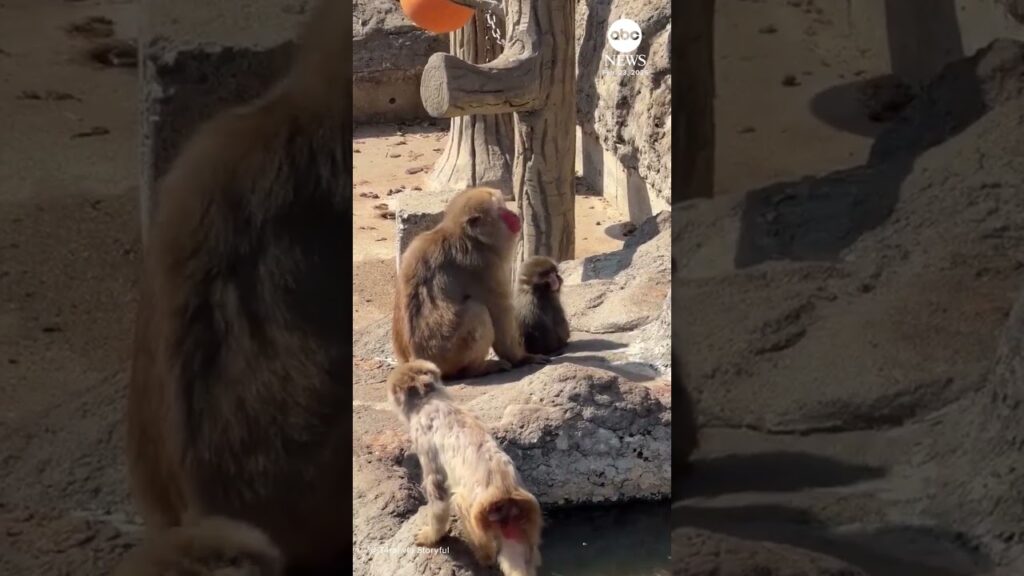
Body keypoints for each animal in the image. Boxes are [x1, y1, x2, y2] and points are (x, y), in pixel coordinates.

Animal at [386, 360, 543, 576]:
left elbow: (439, 493)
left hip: (481, 515)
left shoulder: (423, 438)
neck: (429, 399)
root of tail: (504, 491)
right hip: (516, 518)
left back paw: (484, 556)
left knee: (460, 501)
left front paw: (431, 535)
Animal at [392, 186, 550, 379]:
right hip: (449, 356)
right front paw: (522, 358)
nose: (514, 215)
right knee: (478, 311)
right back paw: (476, 369)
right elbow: (500, 314)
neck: (467, 237)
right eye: (502, 211)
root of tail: (414, 360)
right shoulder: (485, 266)